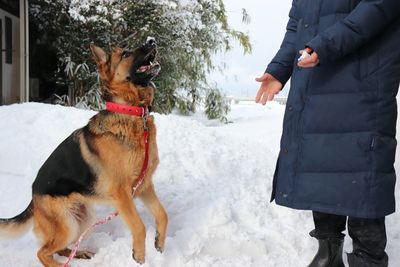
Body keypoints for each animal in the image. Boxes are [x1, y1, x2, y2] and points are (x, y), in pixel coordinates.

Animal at [0, 38, 167, 267]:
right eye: (125, 54)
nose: (151, 40)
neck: (131, 113)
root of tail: (33, 197)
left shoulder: (144, 187)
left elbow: (163, 214)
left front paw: (159, 243)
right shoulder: (122, 194)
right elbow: (139, 226)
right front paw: (138, 256)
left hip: (83, 218)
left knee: (59, 248)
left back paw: (80, 253)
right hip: (68, 225)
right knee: (42, 252)